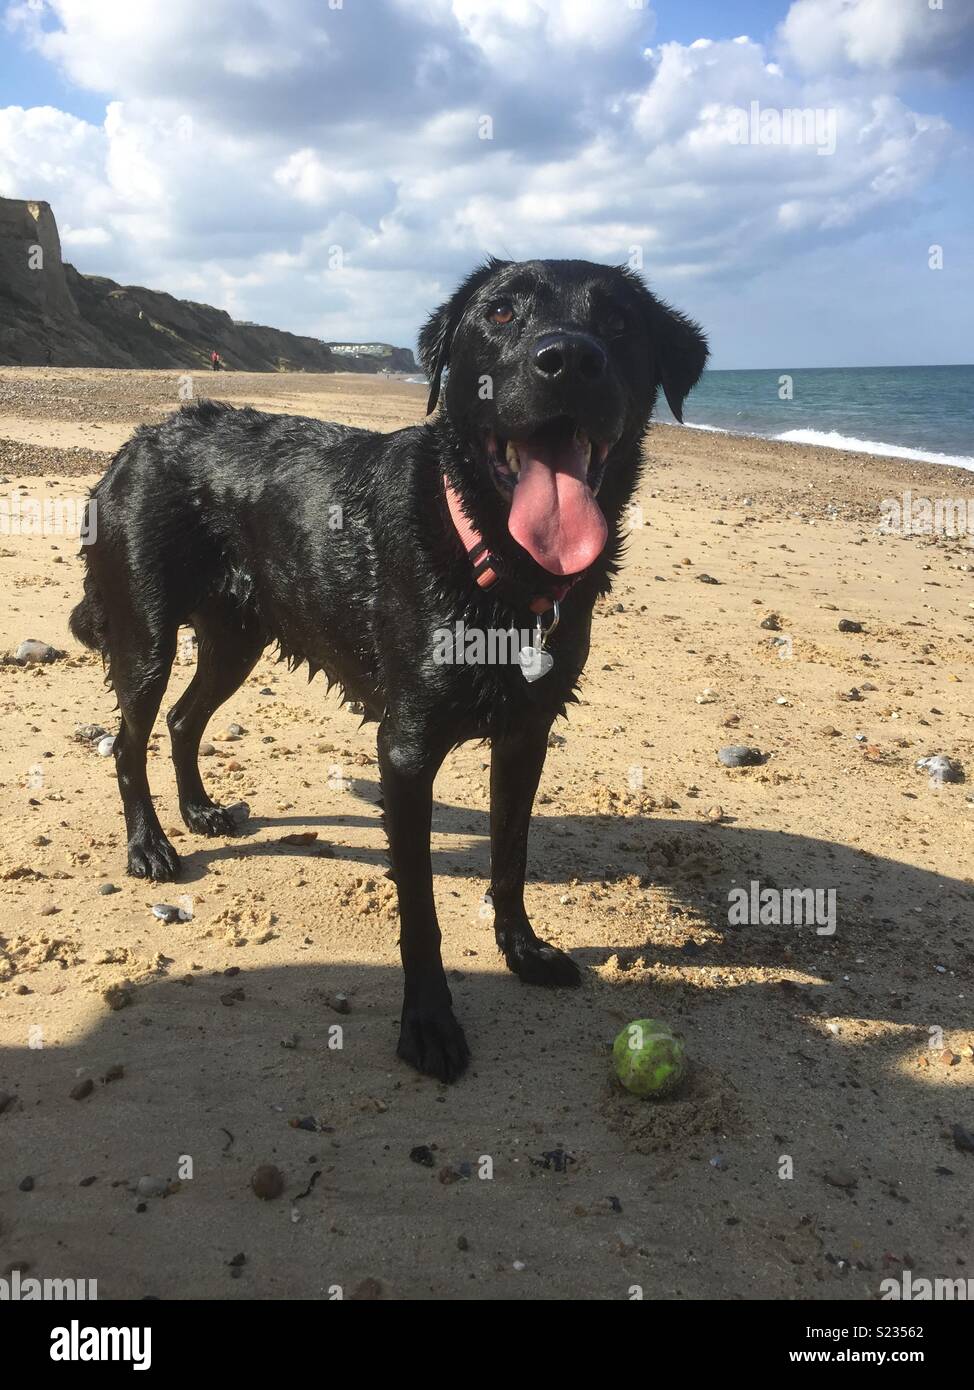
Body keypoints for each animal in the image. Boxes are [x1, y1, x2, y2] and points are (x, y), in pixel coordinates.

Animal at [70, 261, 705, 1084]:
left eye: (622, 322)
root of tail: (132, 444)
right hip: (144, 633)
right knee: (128, 739)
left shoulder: (526, 736)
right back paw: (150, 845)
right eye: (501, 313)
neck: (491, 561)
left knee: (183, 718)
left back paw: (201, 810)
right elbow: (422, 911)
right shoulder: (405, 752)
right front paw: (429, 1024)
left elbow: (511, 856)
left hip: (238, 638)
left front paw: (523, 951)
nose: (569, 358)